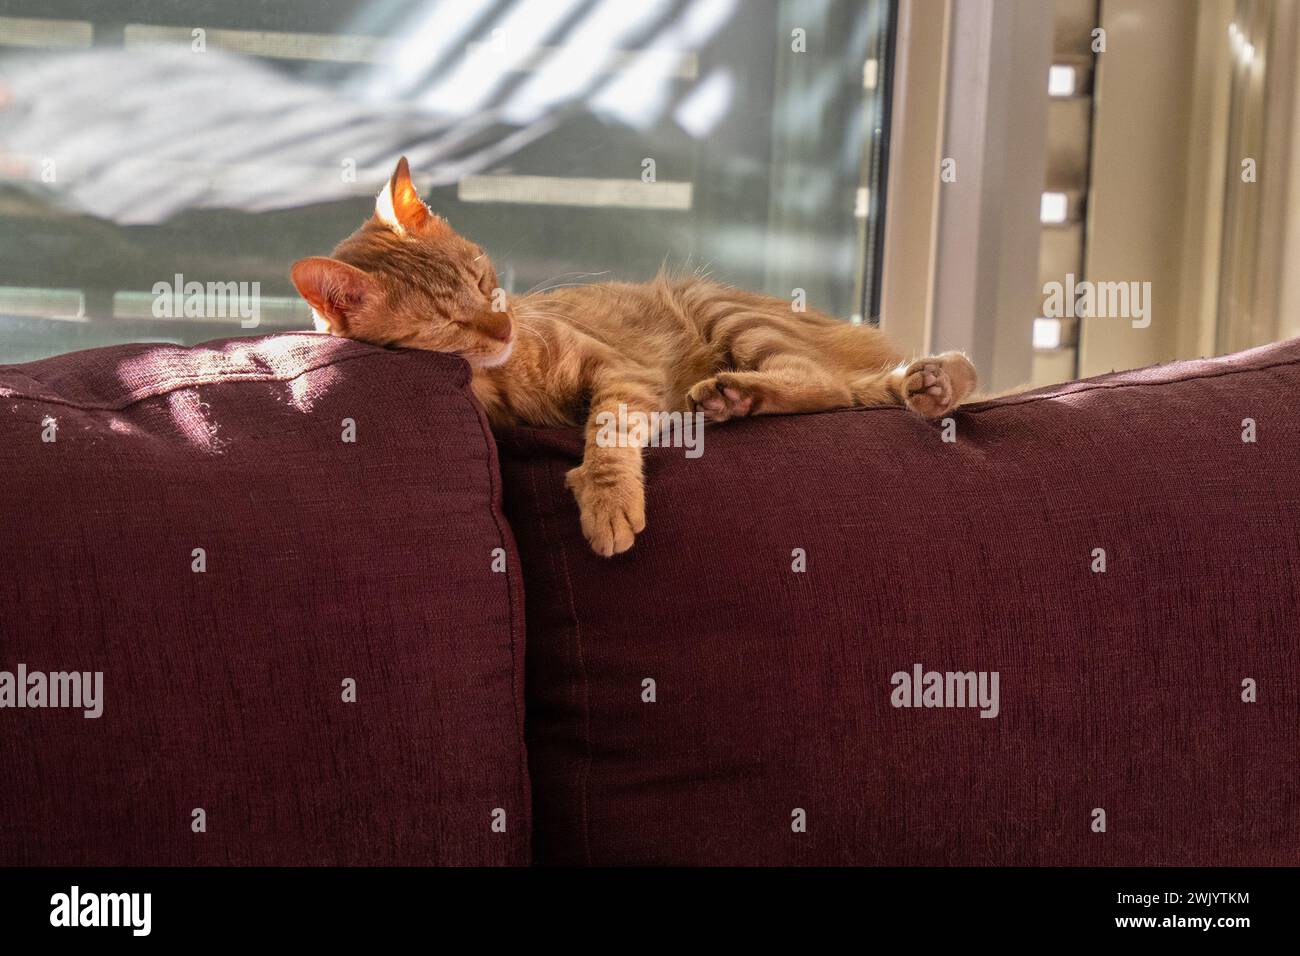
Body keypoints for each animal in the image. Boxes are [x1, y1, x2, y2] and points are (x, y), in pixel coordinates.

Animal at [287, 157, 977, 556]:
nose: (503, 322)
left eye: (483, 279)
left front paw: (607, 498)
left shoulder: (621, 373)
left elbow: (607, 430)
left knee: (827, 382)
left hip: (724, 311)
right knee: (850, 389)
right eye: (448, 322)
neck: (504, 377)